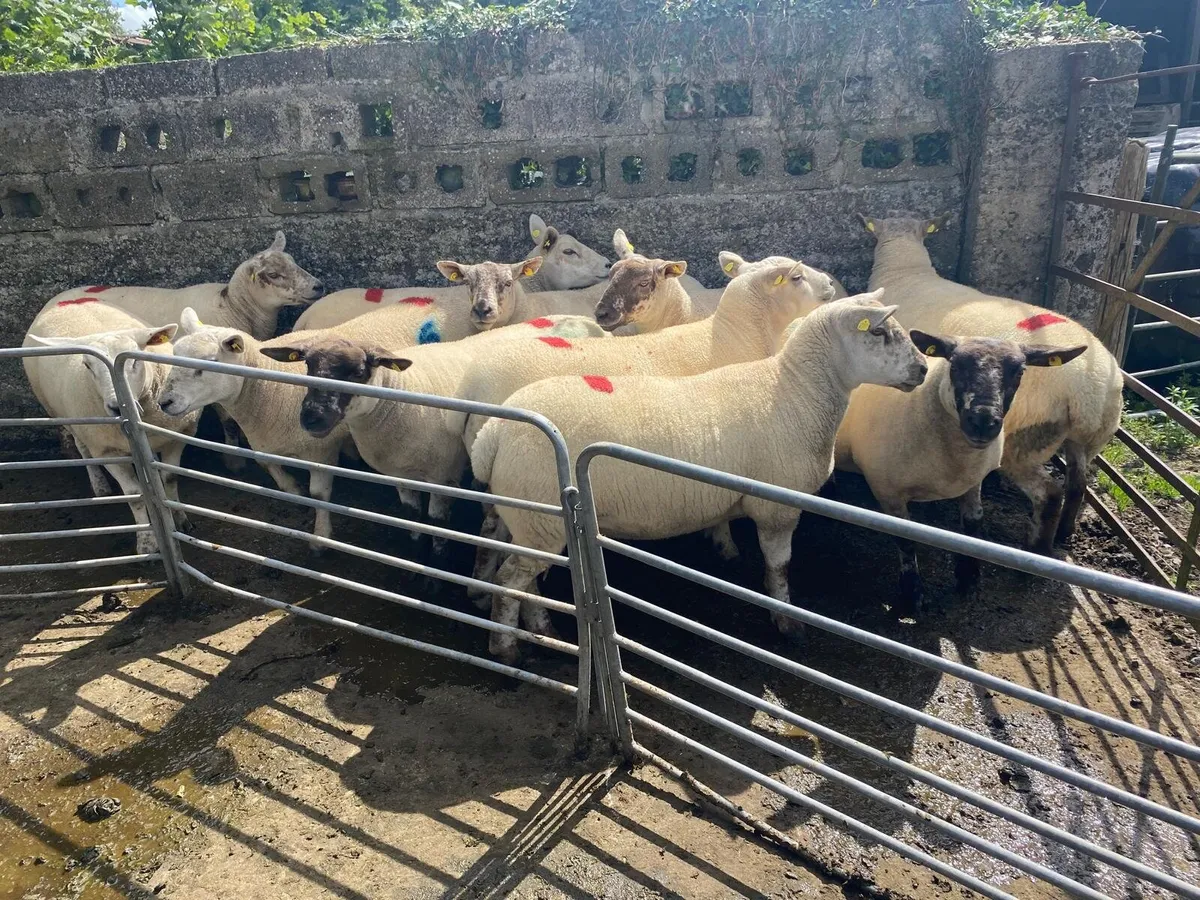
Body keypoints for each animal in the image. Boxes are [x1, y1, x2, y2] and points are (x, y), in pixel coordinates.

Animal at [23, 301, 201, 553]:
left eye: (134, 361)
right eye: (87, 365)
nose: (116, 406)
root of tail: (58, 303)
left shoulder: (176, 437)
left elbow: (169, 479)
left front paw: (179, 519)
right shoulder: (106, 451)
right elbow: (134, 494)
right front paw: (147, 543)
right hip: (64, 416)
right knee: (82, 448)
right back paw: (100, 485)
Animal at [470, 292, 929, 661]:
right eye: (880, 333)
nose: (924, 369)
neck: (796, 393)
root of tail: (494, 434)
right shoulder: (777, 507)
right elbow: (780, 567)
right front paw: (787, 622)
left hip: (526, 517)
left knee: (524, 579)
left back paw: (541, 629)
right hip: (540, 520)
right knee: (511, 580)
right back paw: (506, 650)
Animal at [835, 331, 1088, 615]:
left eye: (1020, 371)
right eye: (954, 366)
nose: (983, 422)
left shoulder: (972, 479)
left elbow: (974, 523)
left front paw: (969, 578)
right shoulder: (887, 490)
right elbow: (905, 539)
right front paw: (913, 595)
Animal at [857, 213, 1123, 552]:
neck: (905, 269)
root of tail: (1090, 390)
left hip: (1020, 443)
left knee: (1050, 493)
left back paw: (1035, 549)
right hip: (1086, 441)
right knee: (1078, 483)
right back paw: (1065, 533)